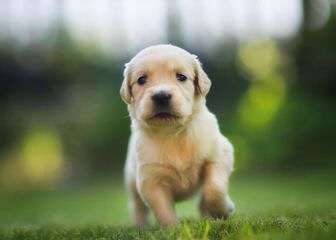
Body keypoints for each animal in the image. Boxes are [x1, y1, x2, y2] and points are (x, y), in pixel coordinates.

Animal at [120, 44, 234, 227]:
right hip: (131, 181)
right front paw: (174, 229)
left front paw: (222, 210)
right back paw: (140, 225)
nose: (161, 96)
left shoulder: (220, 154)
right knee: (136, 205)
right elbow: (163, 211)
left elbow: (214, 189)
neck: (172, 133)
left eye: (181, 76)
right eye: (141, 79)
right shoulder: (151, 181)